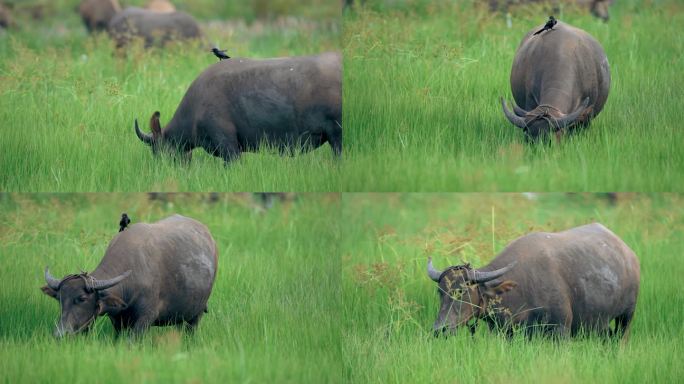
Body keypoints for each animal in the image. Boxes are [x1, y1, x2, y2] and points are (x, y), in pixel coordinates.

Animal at [40, 214, 216, 338]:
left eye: (82, 298)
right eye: (59, 298)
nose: (60, 334)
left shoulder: (145, 318)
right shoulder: (117, 320)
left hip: (196, 314)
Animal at [428, 222, 640, 340]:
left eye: (462, 291)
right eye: (441, 292)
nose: (440, 329)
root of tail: (629, 255)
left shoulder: (561, 329)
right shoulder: (504, 331)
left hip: (626, 317)